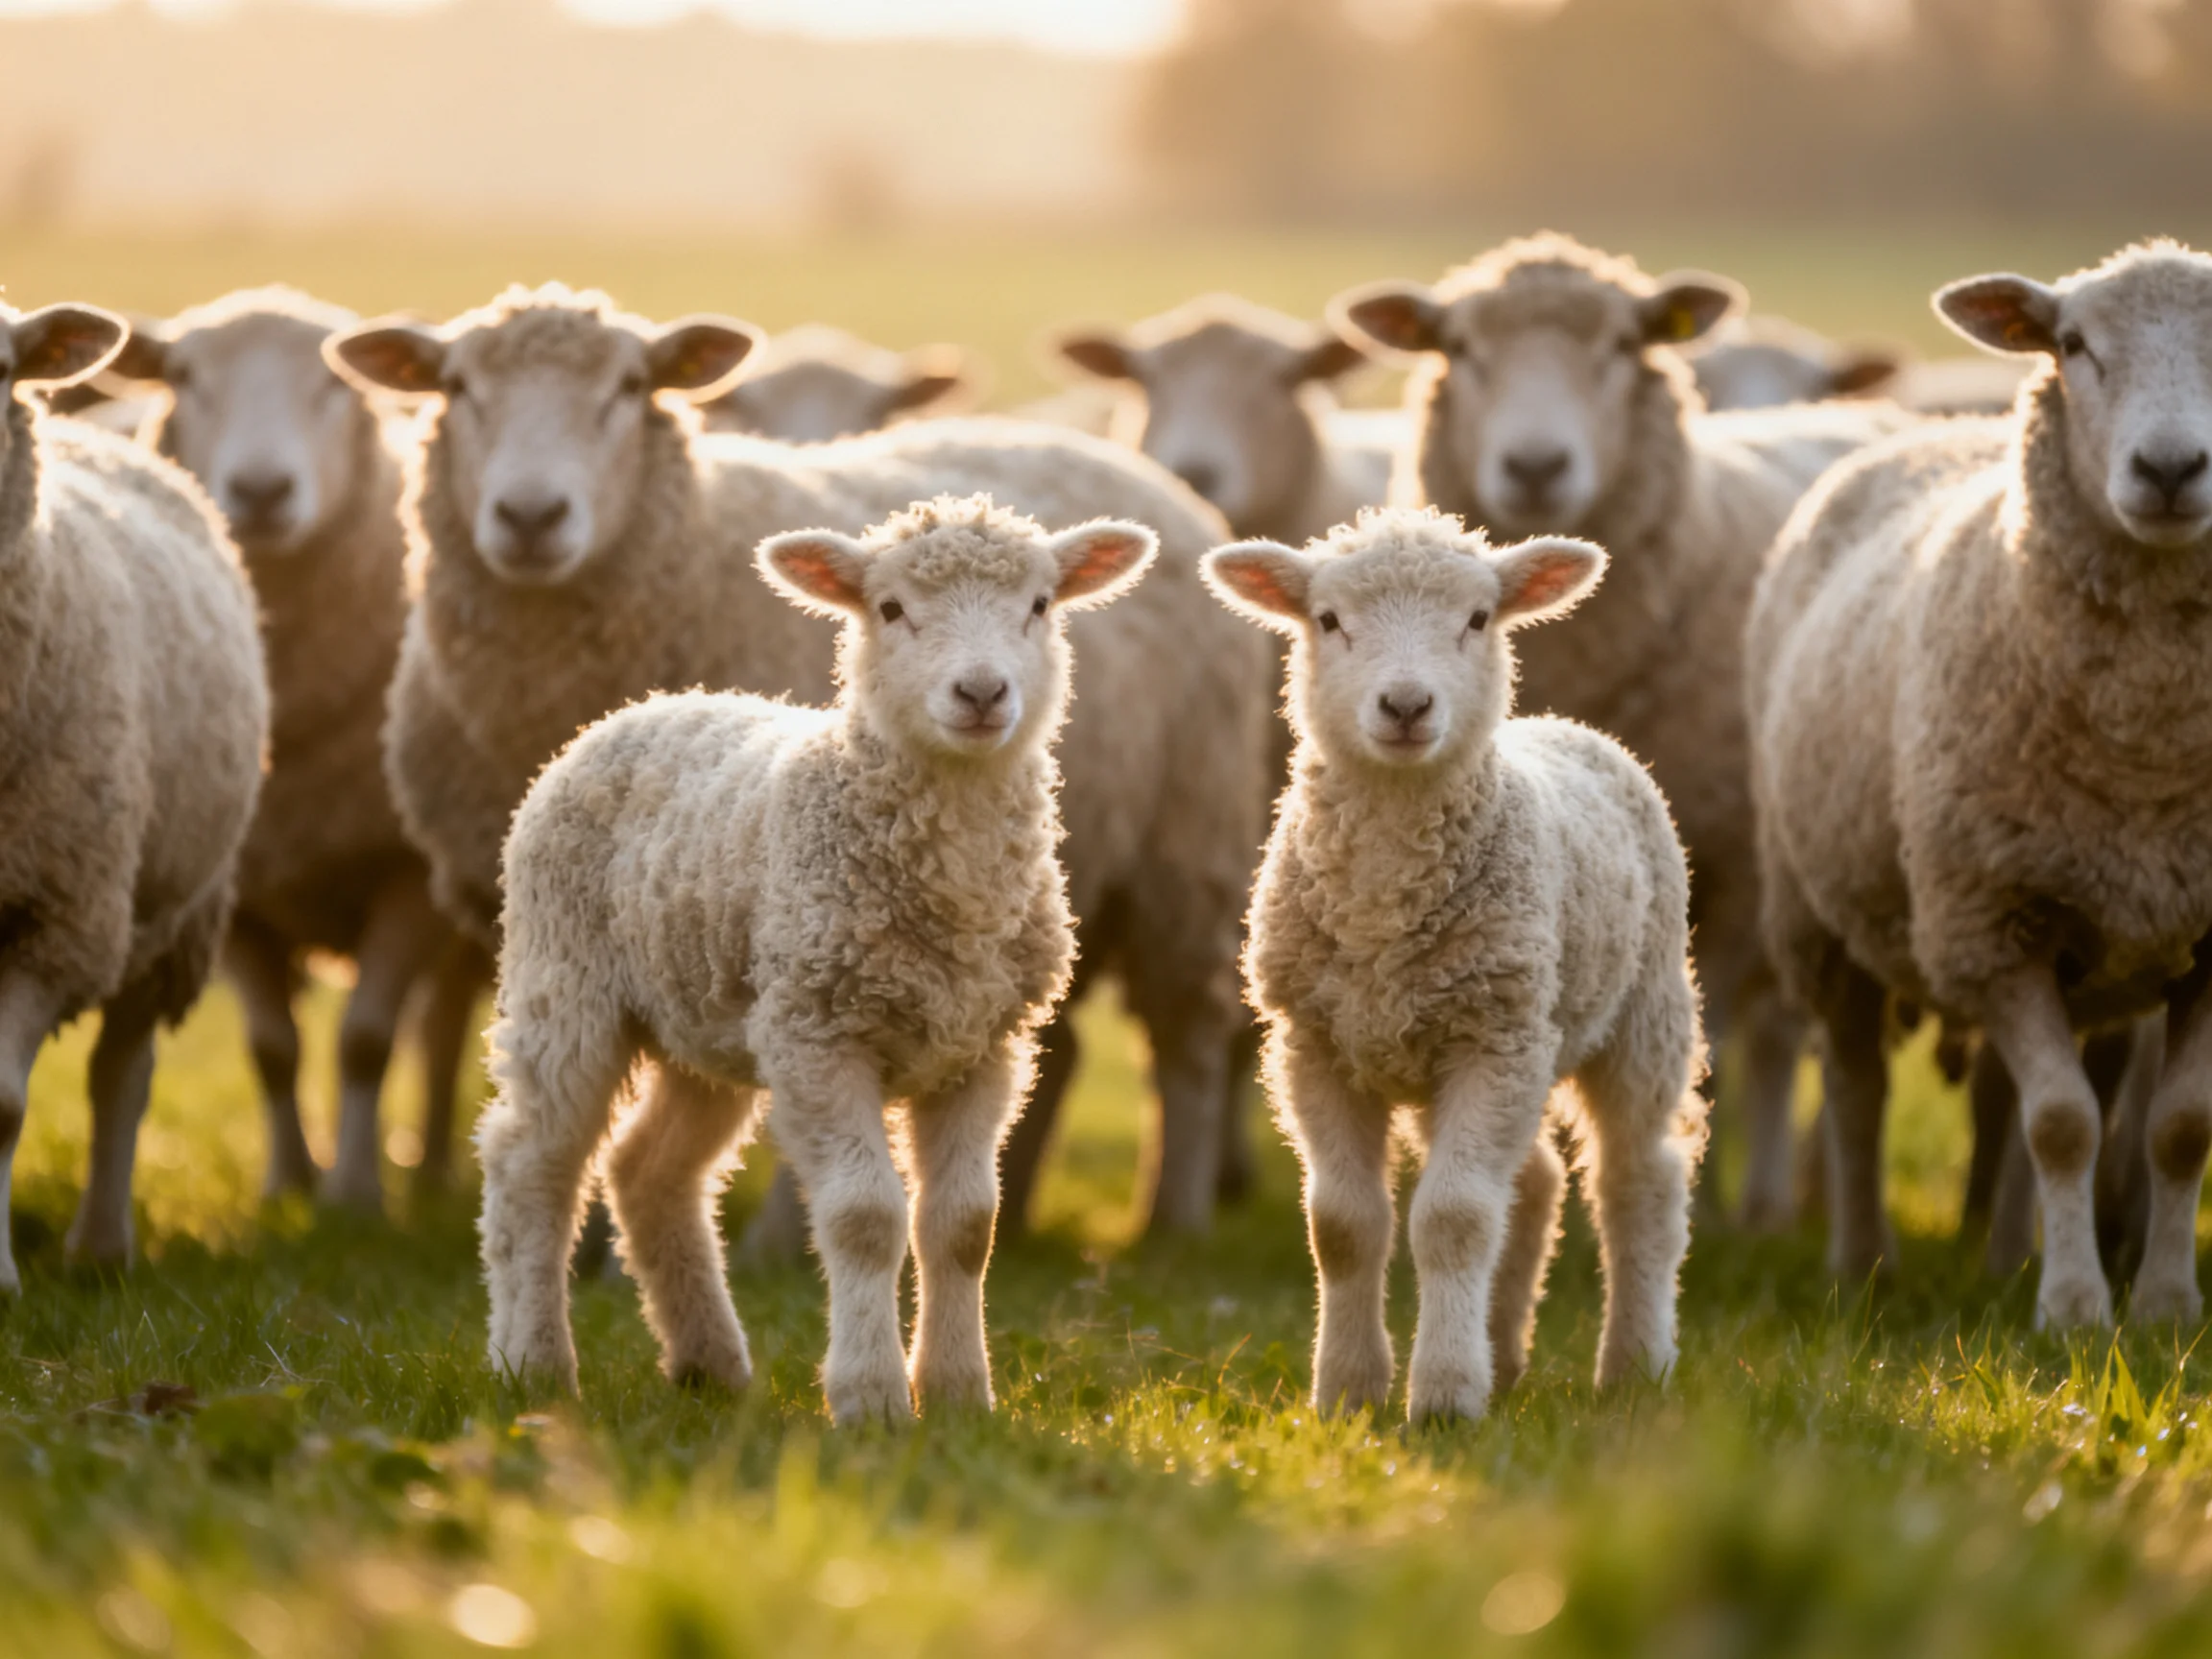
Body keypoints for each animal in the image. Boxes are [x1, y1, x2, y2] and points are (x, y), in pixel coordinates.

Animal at [0, 302, 268, 1286]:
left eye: (0, 372)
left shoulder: (57, 919)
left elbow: (1, 1104)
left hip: (168, 917)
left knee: (122, 1069)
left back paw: (100, 1250)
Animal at [110, 287, 491, 1210]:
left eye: (336, 386)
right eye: (183, 375)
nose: (259, 489)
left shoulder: (408, 875)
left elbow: (366, 1040)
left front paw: (354, 1197)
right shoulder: (233, 890)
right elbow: (273, 1050)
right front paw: (287, 1182)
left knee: (443, 1028)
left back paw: (430, 1171)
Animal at [478, 496, 1152, 1420]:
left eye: (1041, 605)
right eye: (891, 609)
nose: (982, 692)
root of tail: (642, 708)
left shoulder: (982, 1048)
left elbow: (964, 1225)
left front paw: (957, 1395)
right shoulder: (821, 1037)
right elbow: (866, 1217)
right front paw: (871, 1399)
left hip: (710, 1021)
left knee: (649, 1171)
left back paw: (709, 1365)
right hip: (566, 977)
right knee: (532, 1164)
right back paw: (533, 1364)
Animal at [1204, 507, 1708, 1422]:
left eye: (1477, 619)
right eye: (1327, 620)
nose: (1406, 704)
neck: (1385, 891)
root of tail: (1566, 726)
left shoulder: (1491, 1039)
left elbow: (1452, 1220)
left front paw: (1442, 1398)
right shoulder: (1315, 1045)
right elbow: (1344, 1225)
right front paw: (1349, 1391)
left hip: (1642, 1012)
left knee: (1638, 1182)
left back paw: (1633, 1366)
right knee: (1536, 1183)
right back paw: (1503, 1355)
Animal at [1746, 241, 2212, 1329]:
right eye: (2075, 344)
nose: (2170, 471)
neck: (2152, 759)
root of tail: (1940, 431)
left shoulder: (2208, 939)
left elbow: (2177, 1128)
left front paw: (2166, 1309)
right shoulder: (1989, 924)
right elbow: (2063, 1124)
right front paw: (2076, 1314)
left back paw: (2002, 1260)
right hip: (1820, 917)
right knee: (1859, 1088)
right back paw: (1862, 1263)